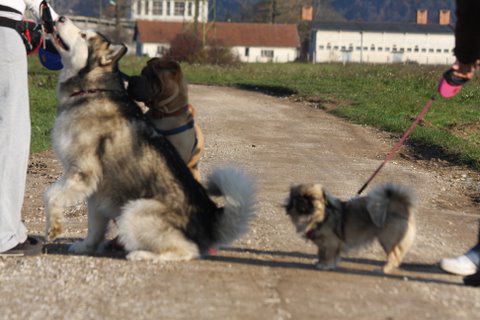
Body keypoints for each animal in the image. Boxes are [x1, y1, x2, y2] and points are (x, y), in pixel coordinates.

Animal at [45, 17, 255, 262]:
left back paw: (143, 254)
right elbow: (94, 227)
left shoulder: (81, 172)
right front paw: (87, 246)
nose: (60, 18)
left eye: (83, 36)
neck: (92, 89)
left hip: (132, 211)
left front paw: (53, 227)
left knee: (188, 250)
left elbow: (50, 195)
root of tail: (209, 219)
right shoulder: (96, 190)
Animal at [284, 182, 416, 272]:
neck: (319, 218)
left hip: (387, 241)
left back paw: (384, 269)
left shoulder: (331, 243)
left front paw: (326, 265)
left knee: (395, 256)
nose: (302, 200)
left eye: (311, 198)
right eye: (297, 197)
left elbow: (328, 255)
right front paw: (321, 263)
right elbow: (321, 254)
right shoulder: (322, 245)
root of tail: (399, 208)